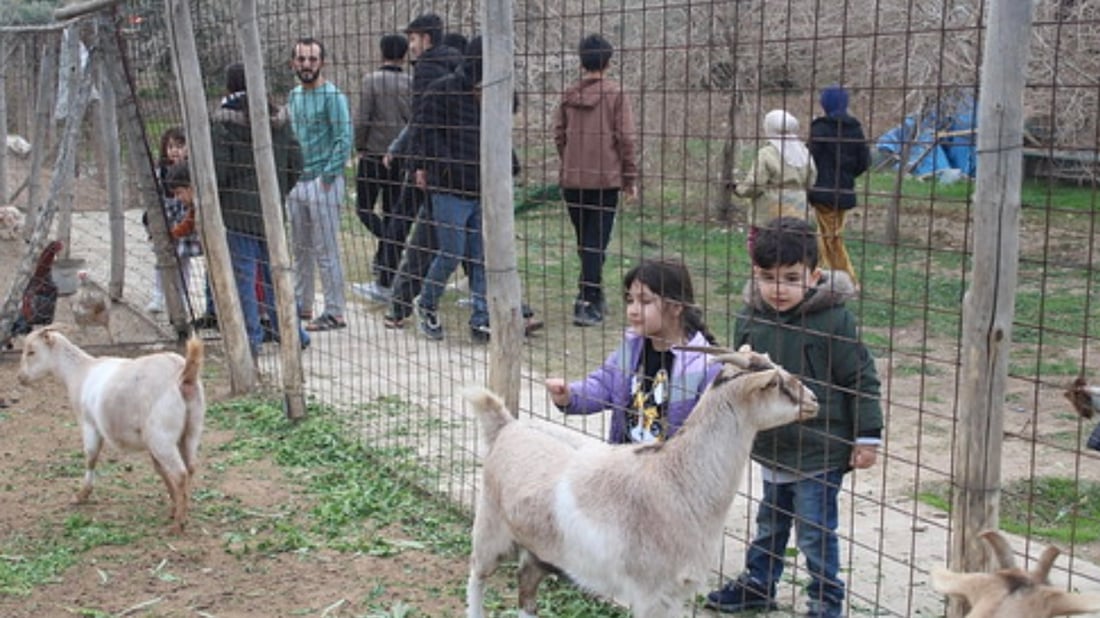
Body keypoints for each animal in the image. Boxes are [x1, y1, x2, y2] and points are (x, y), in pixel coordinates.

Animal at [18, 325, 206, 532]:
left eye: (31, 351)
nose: (20, 378)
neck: (80, 371)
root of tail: (184, 375)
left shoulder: (89, 423)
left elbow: (91, 457)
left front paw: (81, 495)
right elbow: (159, 469)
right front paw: (172, 505)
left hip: (161, 435)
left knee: (180, 474)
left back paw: (178, 525)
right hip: (190, 431)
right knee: (190, 468)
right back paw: (182, 512)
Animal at [462, 343, 818, 611]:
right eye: (775, 383)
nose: (813, 401)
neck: (677, 479)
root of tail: (506, 426)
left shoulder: (677, 593)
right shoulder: (650, 592)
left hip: (541, 550)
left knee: (525, 588)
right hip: (490, 530)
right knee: (476, 576)